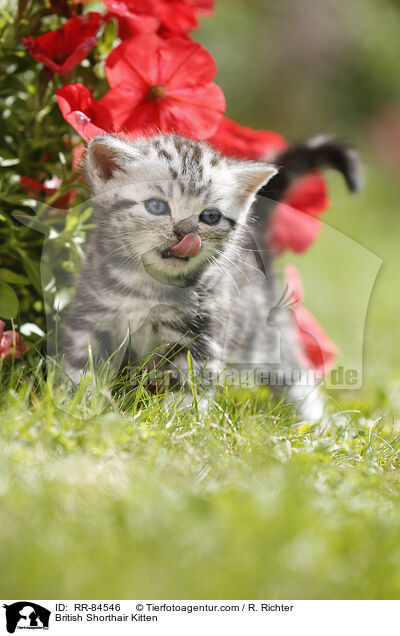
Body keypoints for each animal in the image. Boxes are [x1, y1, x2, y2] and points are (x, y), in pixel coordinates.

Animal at [63, 133, 360, 418]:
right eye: (157, 207)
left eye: (210, 217)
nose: (185, 234)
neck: (148, 287)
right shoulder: (92, 316)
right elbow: (80, 363)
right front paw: (76, 404)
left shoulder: (202, 333)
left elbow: (189, 381)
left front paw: (177, 419)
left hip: (264, 333)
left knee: (295, 376)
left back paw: (317, 422)